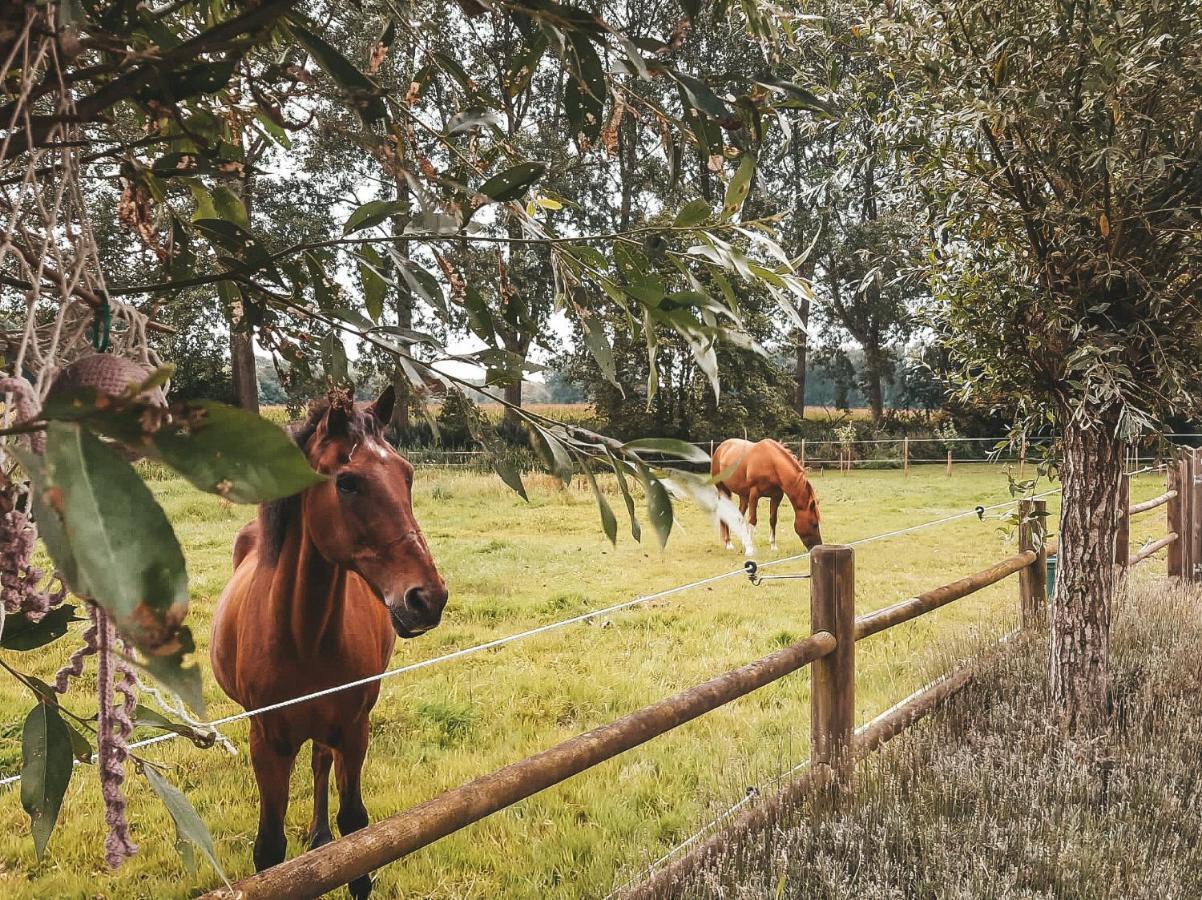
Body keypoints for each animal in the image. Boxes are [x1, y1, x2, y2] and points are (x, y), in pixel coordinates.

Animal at [210, 386, 447, 898]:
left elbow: (357, 834)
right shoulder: (268, 743)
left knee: (321, 763)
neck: (302, 635)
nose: (427, 598)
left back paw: (319, 838)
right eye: (348, 483)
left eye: (407, 475)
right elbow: (269, 852)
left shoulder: (354, 730)